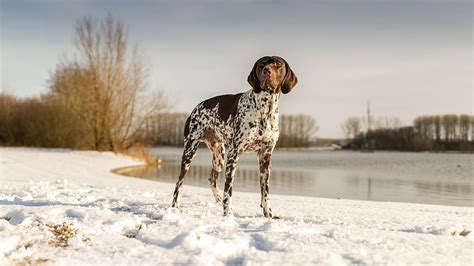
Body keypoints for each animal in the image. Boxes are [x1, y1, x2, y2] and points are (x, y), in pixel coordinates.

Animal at [171, 56, 296, 218]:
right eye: (261, 64)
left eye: (278, 64)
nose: (266, 71)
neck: (265, 109)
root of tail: (196, 108)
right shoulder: (234, 153)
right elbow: (228, 190)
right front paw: (227, 214)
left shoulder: (265, 156)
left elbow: (265, 192)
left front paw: (268, 214)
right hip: (189, 151)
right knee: (179, 183)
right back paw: (175, 206)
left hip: (219, 156)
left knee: (211, 178)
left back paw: (217, 199)